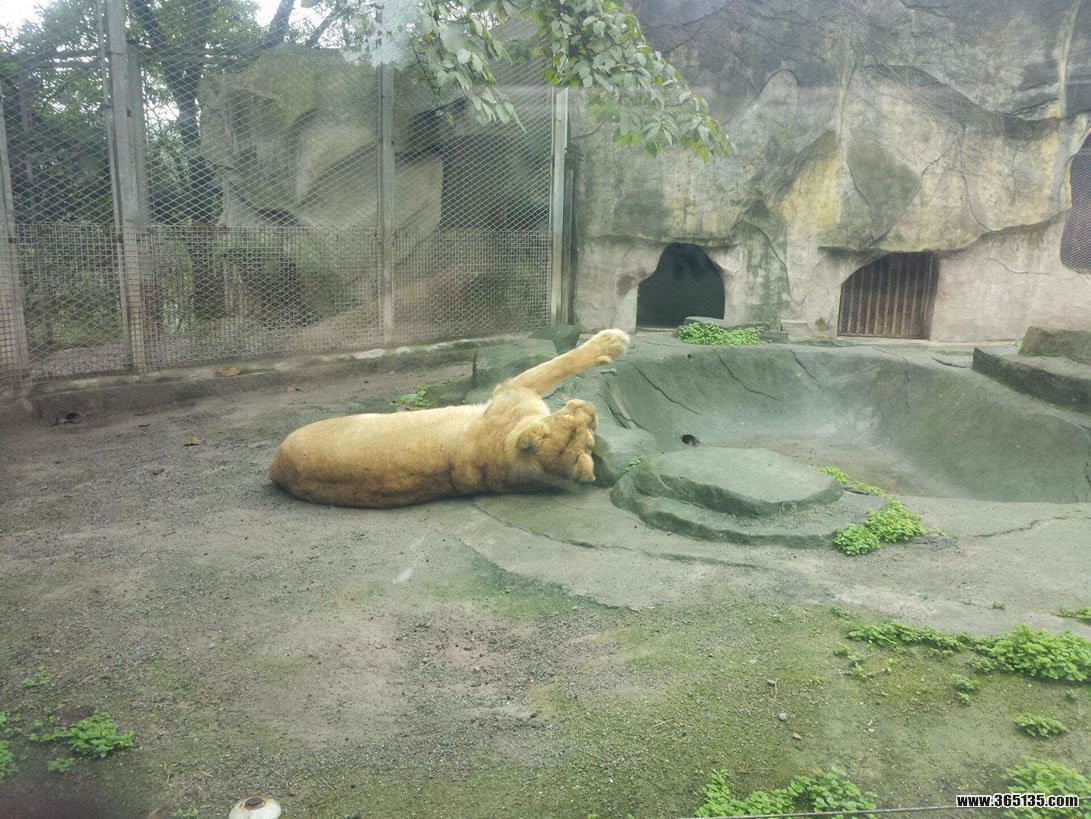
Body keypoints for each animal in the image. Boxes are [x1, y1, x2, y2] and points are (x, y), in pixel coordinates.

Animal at [269, 329, 630, 507]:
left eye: (588, 433)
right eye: (570, 421)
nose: (590, 409)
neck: (506, 458)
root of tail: (276, 468)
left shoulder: (512, 392)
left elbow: (559, 363)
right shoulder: (513, 389)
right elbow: (559, 363)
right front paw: (613, 339)